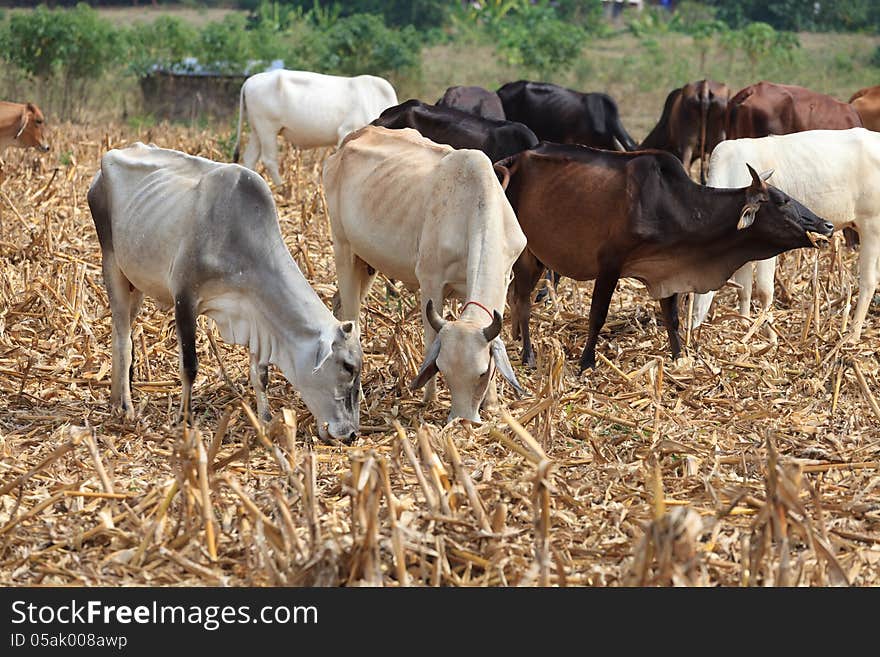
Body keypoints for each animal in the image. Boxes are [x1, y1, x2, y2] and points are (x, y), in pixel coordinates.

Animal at [87, 142, 362, 440]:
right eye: (348, 366)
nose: (352, 434)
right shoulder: (185, 298)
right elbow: (190, 366)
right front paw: (184, 419)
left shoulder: (256, 312)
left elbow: (260, 374)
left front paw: (265, 420)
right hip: (111, 263)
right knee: (123, 339)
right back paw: (125, 406)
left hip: (135, 281)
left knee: (119, 331)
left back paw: (115, 400)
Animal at [234, 69, 398, 186]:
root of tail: (250, 80)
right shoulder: (346, 131)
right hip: (267, 128)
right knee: (269, 159)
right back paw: (282, 187)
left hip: (257, 130)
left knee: (250, 158)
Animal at [324, 125, 524, 422]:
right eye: (443, 370)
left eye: (481, 374)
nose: (462, 420)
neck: (474, 206)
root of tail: (354, 136)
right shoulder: (431, 281)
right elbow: (431, 338)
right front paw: (430, 398)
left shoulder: (505, 275)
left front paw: (492, 403)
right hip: (343, 248)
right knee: (351, 317)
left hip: (365, 263)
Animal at [696, 130, 880, 340]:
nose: (690, 327)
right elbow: (744, 290)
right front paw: (744, 326)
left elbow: (764, 290)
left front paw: (771, 335)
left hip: (871, 227)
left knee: (868, 281)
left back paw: (853, 334)